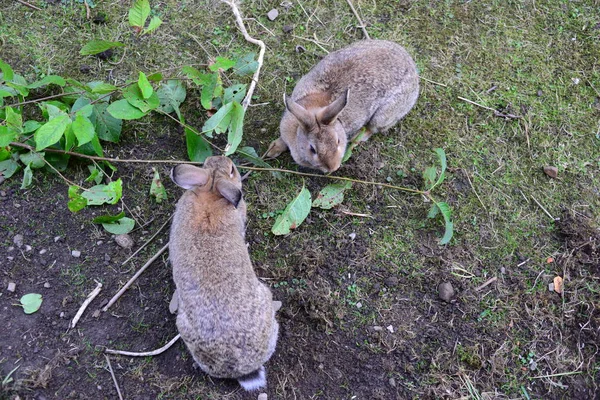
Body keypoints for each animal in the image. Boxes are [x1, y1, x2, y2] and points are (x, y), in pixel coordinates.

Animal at [170, 156, 280, 390]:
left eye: (205, 162)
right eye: (232, 170)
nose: (225, 158)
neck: (211, 192)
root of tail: (245, 369)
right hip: (265, 296)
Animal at [264, 38, 420, 173]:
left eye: (338, 141)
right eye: (312, 149)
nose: (333, 168)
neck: (312, 110)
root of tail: (413, 70)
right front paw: (272, 150)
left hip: (384, 114)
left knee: (372, 128)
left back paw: (356, 137)